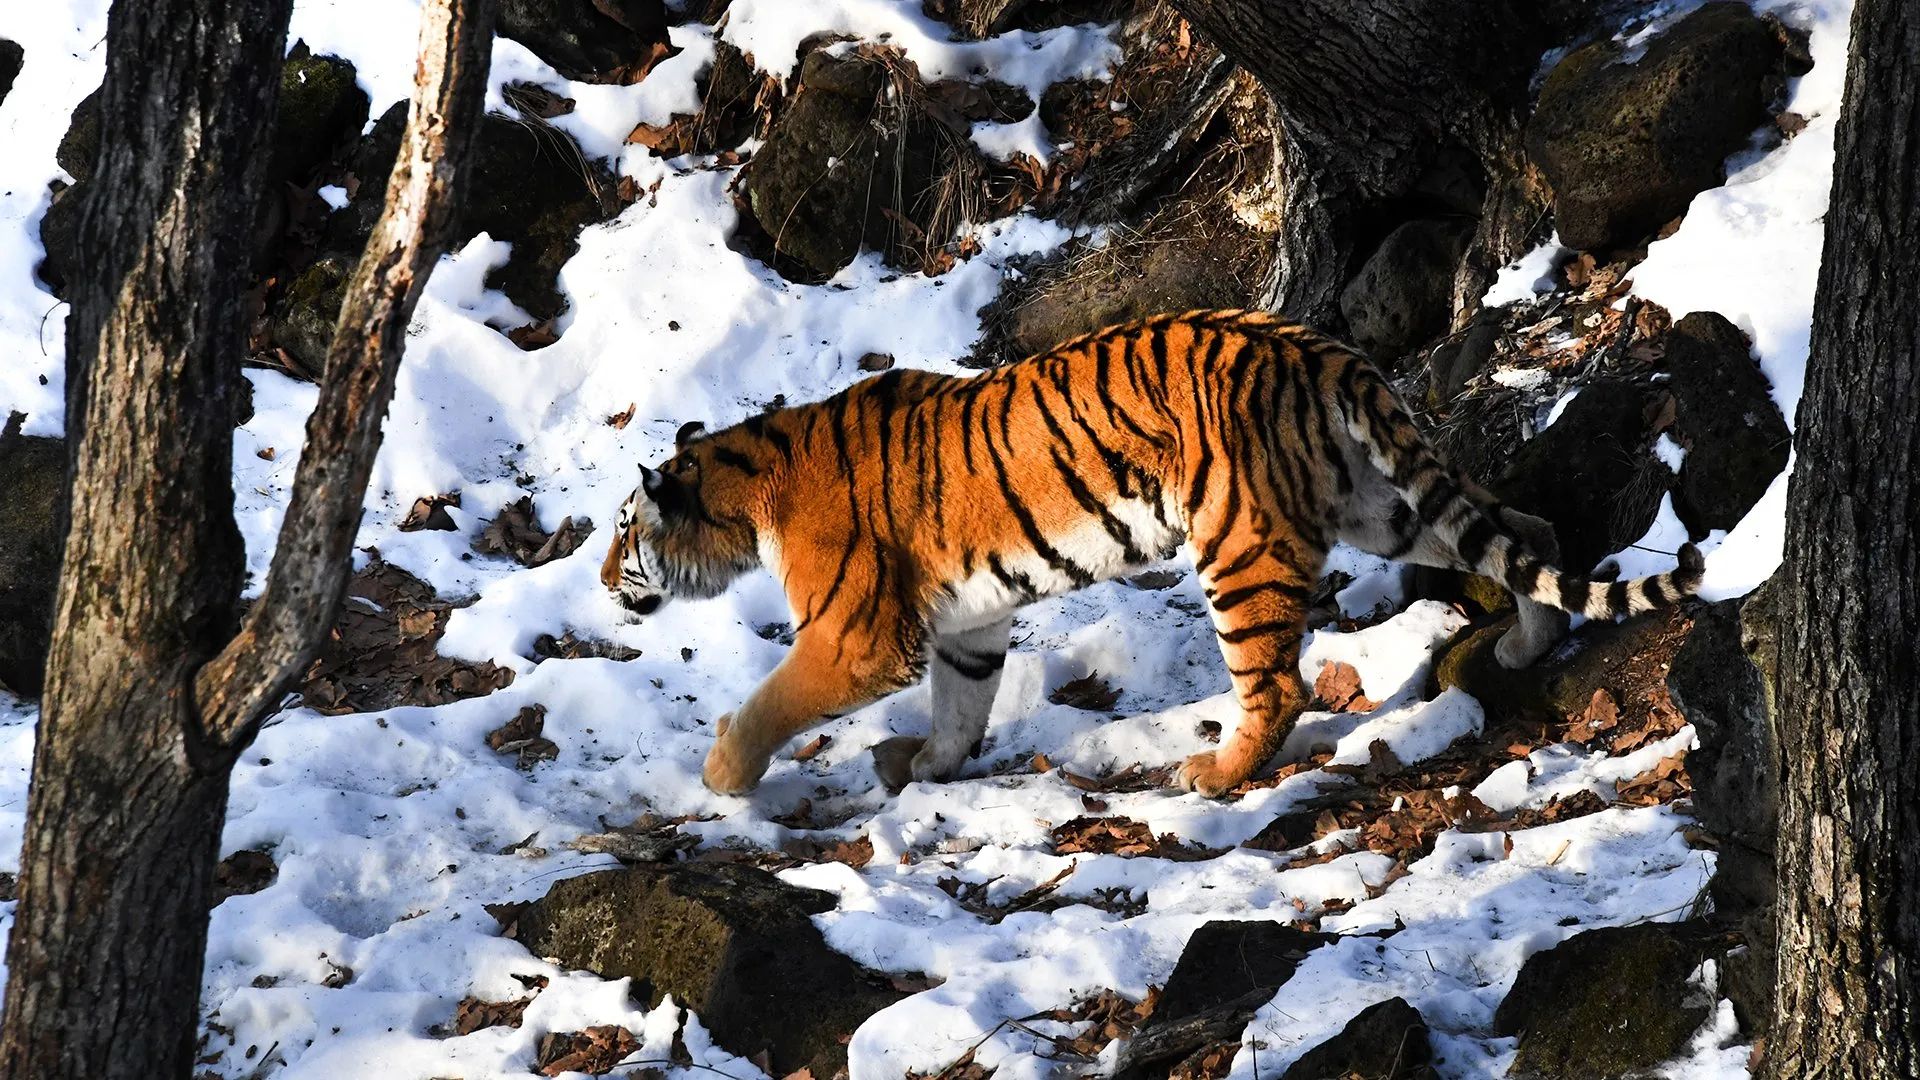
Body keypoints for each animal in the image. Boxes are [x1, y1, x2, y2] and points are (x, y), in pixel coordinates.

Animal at [602, 307, 1712, 795]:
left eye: (621, 530)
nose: (605, 578)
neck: (746, 490)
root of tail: (1314, 344)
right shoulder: (967, 623)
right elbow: (961, 704)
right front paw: (931, 765)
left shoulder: (857, 635)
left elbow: (771, 699)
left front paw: (722, 775)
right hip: (1379, 503)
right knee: (1525, 531)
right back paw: (1526, 646)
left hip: (1239, 544)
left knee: (1278, 686)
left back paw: (1215, 776)